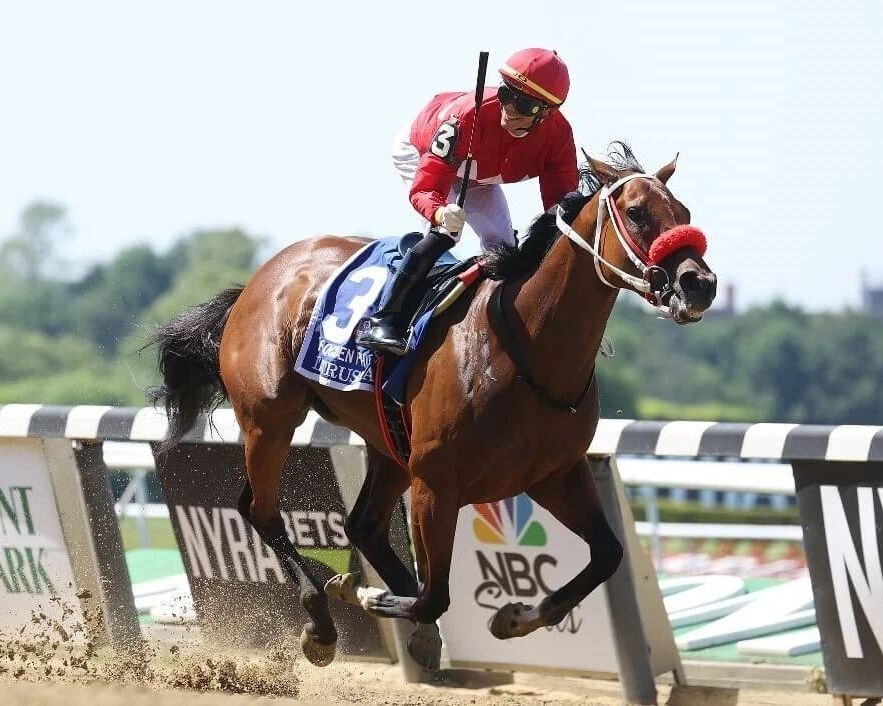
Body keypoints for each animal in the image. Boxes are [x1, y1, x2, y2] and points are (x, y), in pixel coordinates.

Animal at [148, 143, 716, 671]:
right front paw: (358, 591)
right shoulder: (436, 485)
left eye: (684, 211)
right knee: (260, 510)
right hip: (271, 420)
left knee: (361, 525)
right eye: (638, 213)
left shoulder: (554, 474)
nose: (700, 284)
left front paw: (514, 617)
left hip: (386, 442)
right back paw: (322, 622)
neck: (525, 346)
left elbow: (606, 556)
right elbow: (432, 595)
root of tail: (259, 280)